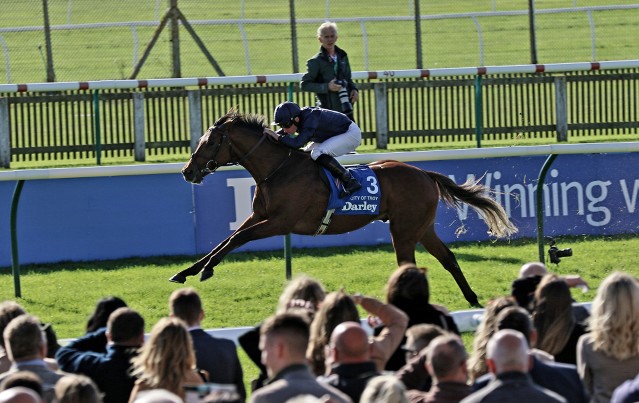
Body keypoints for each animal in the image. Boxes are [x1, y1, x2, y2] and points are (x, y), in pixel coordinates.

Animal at [176, 110, 520, 306]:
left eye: (210, 143)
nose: (187, 171)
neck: (278, 169)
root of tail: (424, 173)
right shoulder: (259, 216)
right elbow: (225, 240)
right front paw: (186, 271)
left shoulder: (280, 222)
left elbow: (236, 239)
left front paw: (207, 270)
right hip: (422, 228)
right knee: (448, 258)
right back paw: (472, 299)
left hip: (404, 230)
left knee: (408, 265)